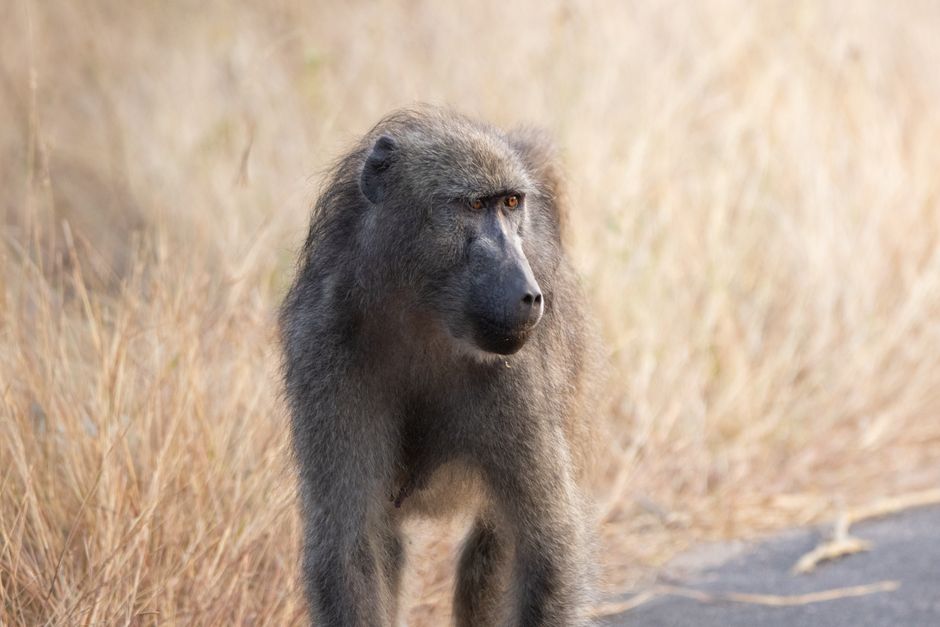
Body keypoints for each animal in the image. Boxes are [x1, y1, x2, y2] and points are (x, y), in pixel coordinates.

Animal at [279, 107, 599, 627]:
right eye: (474, 206)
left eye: (511, 203)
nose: (529, 295)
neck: (423, 316)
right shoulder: (322, 346)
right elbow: (351, 546)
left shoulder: (517, 373)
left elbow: (546, 545)